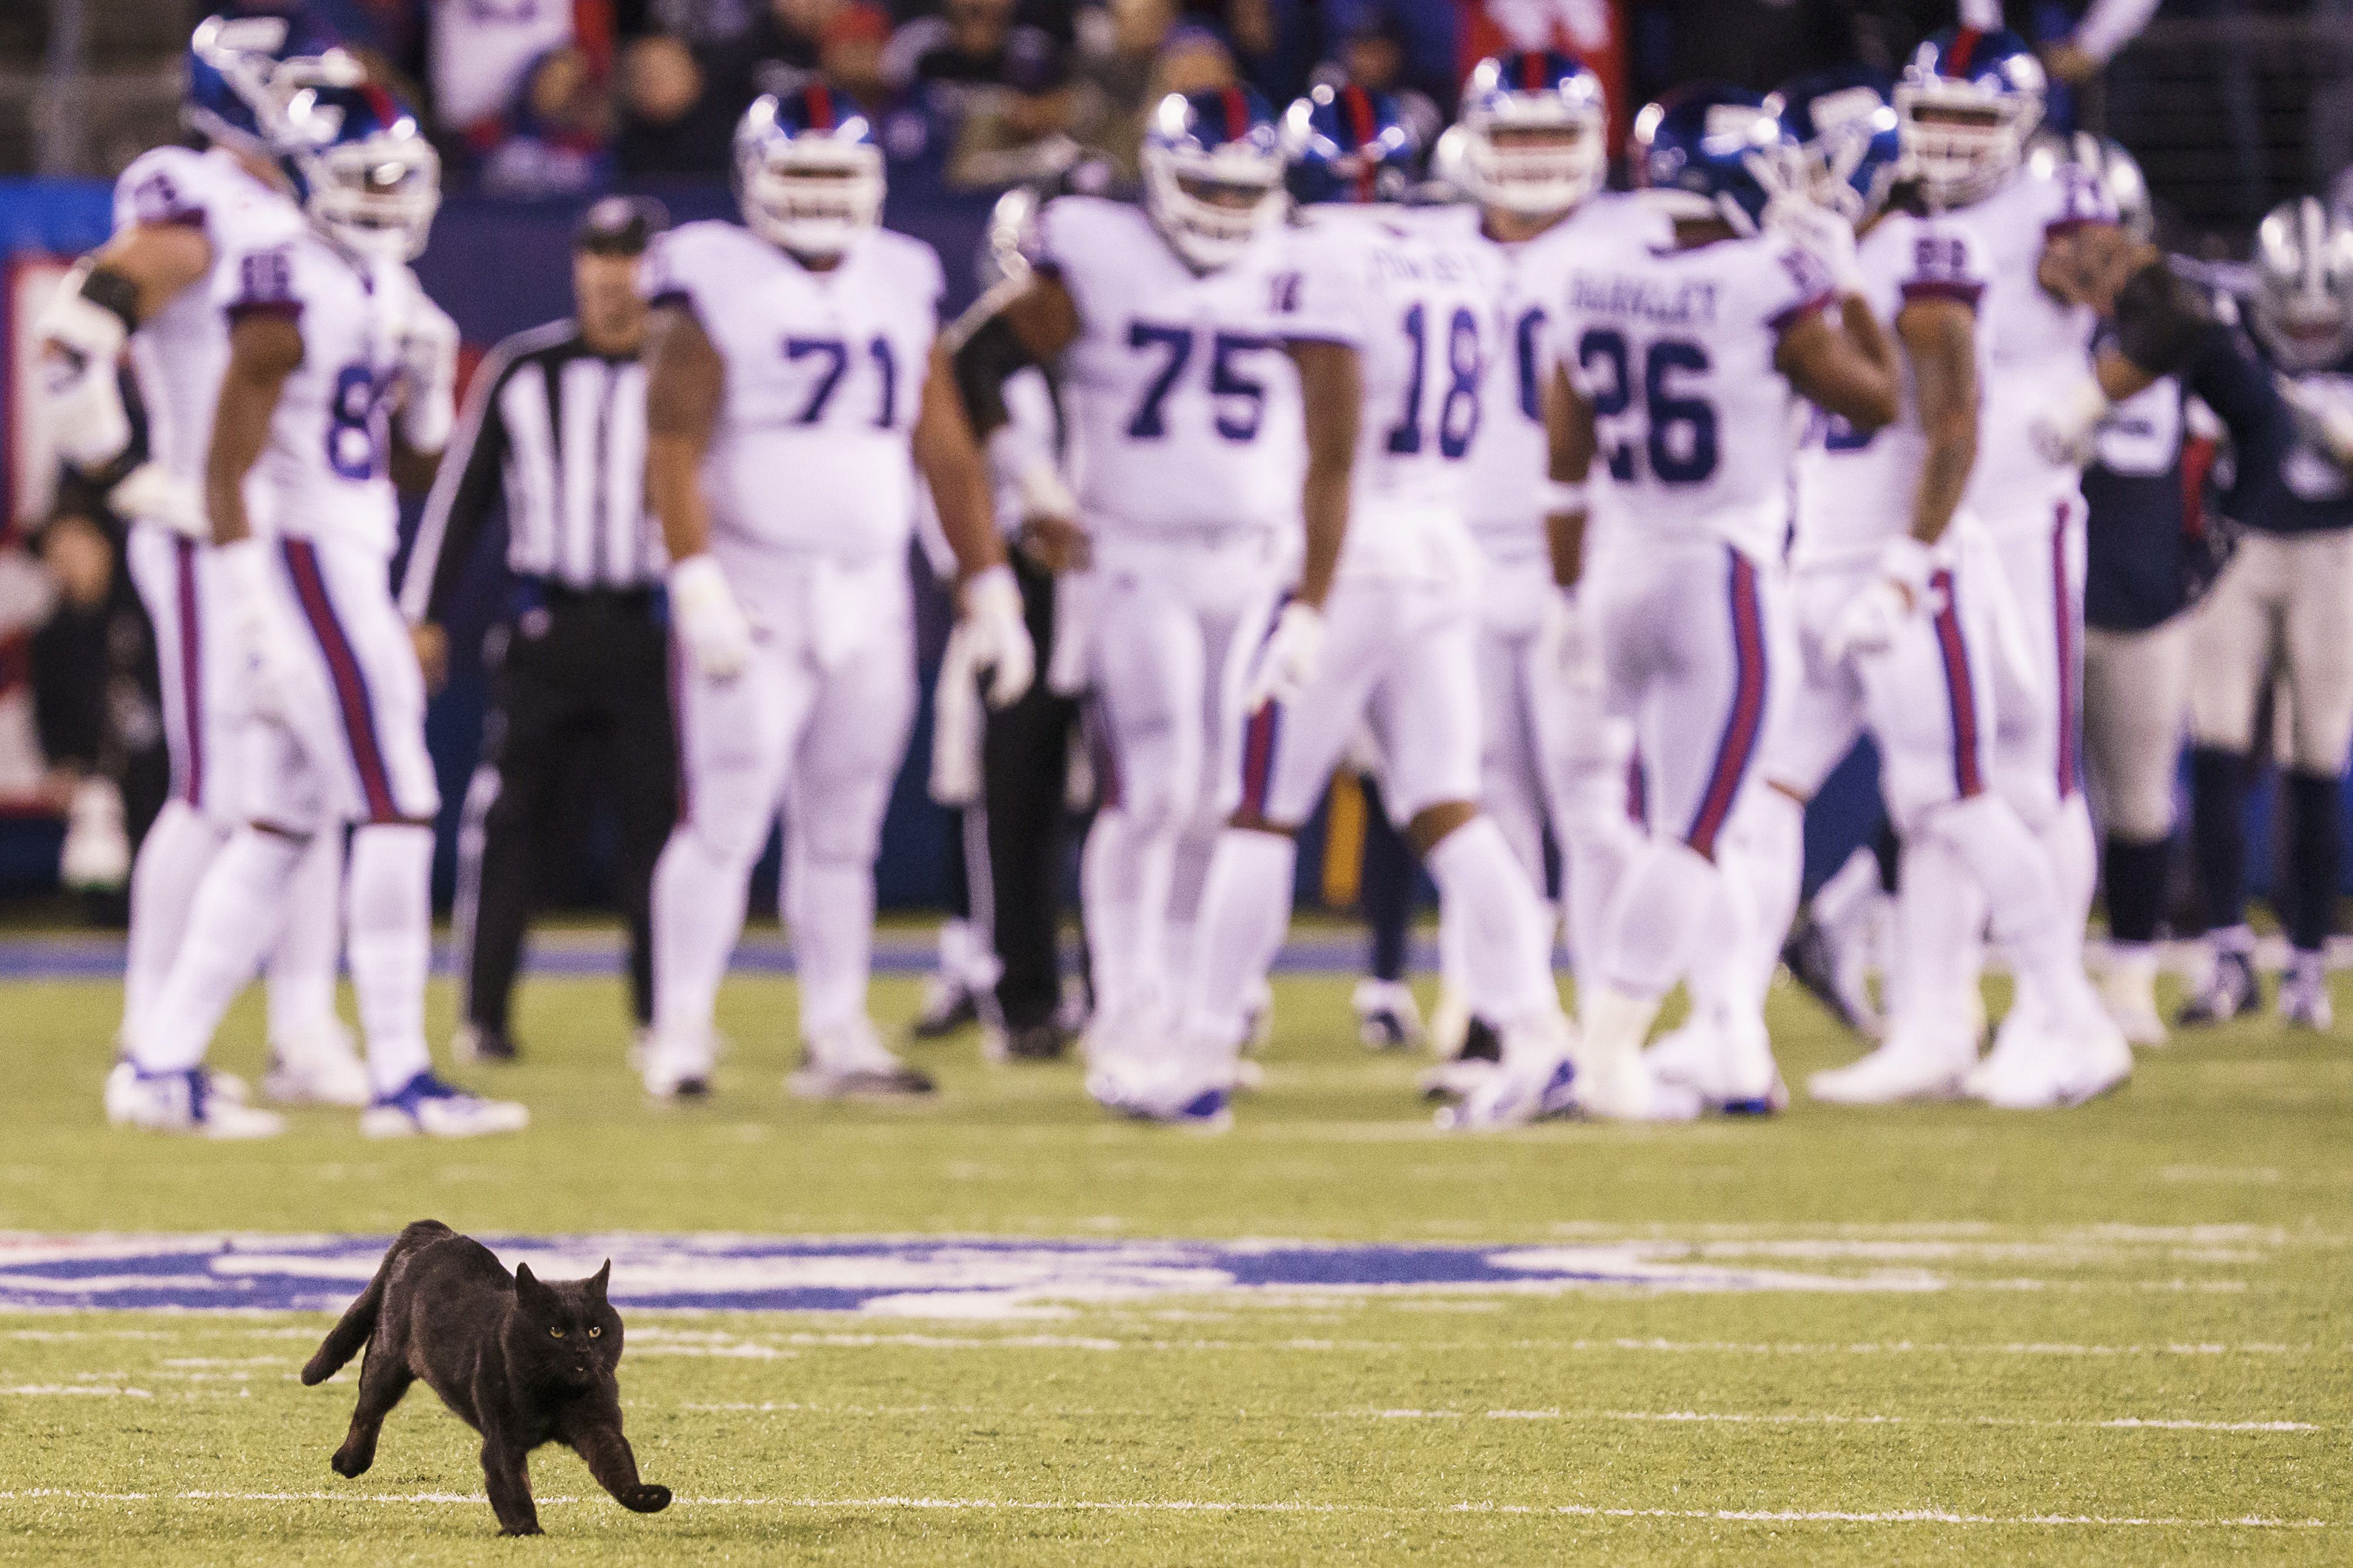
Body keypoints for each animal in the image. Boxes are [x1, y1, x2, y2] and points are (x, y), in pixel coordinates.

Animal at [301, 1222, 673, 1542]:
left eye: (596, 1330)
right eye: (556, 1331)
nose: (583, 1349)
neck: (555, 1395)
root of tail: (437, 1232)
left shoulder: (599, 1425)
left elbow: (618, 1464)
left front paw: (646, 1498)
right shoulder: (502, 1438)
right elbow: (512, 1486)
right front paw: (525, 1530)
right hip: (387, 1361)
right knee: (367, 1411)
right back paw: (349, 1463)